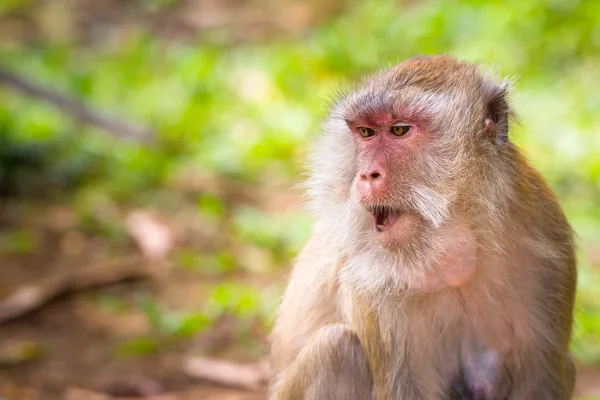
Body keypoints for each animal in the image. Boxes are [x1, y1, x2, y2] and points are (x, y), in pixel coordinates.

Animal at [268, 54, 576, 400]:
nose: (367, 174)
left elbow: (541, 378)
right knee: (336, 350)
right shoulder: (369, 279)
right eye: (366, 132)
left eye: (399, 130)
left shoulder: (546, 240)